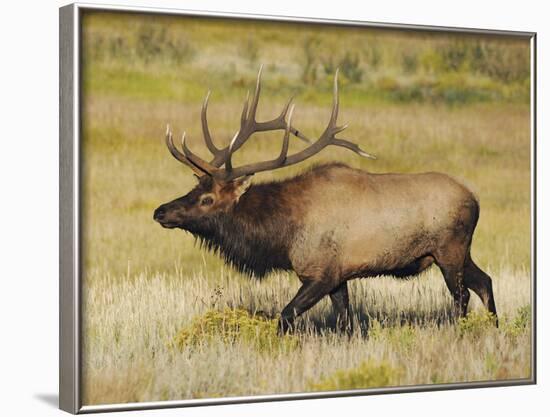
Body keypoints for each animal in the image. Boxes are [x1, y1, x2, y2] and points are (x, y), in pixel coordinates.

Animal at [153, 66, 498, 334]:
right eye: (194, 188)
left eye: (207, 199)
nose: (160, 212)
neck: (283, 235)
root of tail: (476, 200)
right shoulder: (339, 276)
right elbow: (346, 323)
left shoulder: (320, 272)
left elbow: (286, 317)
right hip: (460, 252)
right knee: (485, 282)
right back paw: (495, 330)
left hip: (449, 249)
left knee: (462, 295)